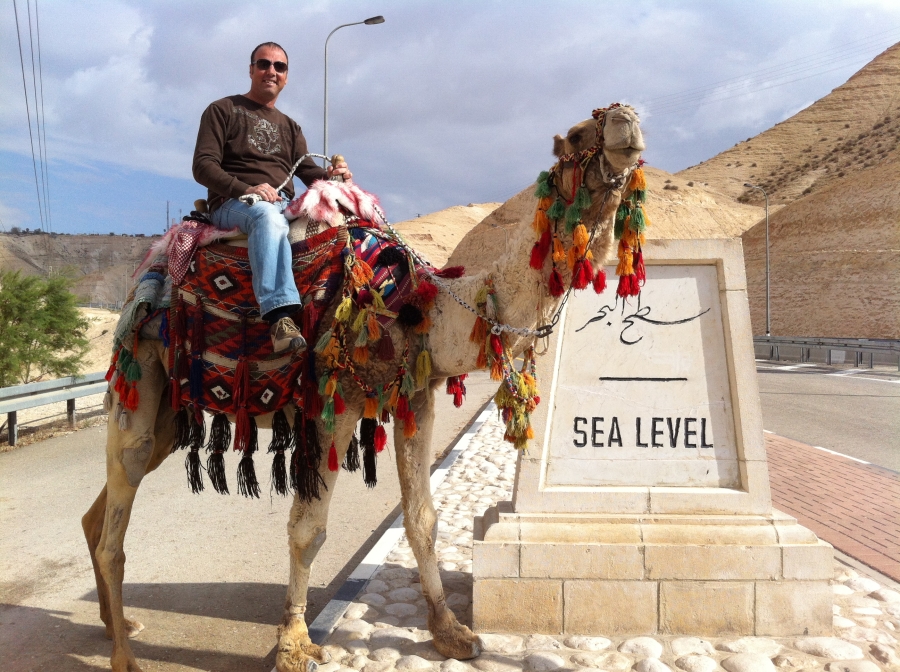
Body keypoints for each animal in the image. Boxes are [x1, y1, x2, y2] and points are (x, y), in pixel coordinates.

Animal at [84, 105, 644, 672]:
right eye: (576, 134)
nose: (627, 122)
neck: (413, 307)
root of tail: (151, 267)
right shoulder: (334, 407)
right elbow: (308, 531)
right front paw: (293, 644)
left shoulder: (416, 397)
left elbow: (422, 519)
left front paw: (451, 631)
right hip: (140, 369)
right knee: (118, 511)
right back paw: (124, 656)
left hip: (167, 411)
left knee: (101, 511)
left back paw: (116, 623)